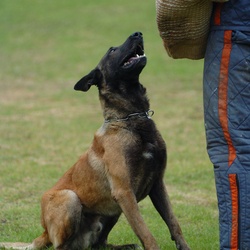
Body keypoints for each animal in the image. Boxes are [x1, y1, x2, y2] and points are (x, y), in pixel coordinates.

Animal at [0, 32, 189, 249]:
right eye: (112, 50)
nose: (138, 33)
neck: (130, 119)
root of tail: (44, 233)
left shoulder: (157, 184)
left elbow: (174, 223)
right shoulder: (124, 192)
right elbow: (146, 233)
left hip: (112, 211)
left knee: (99, 243)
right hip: (71, 198)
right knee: (61, 246)